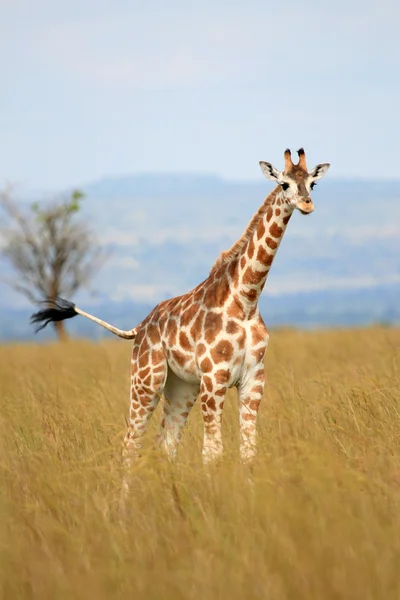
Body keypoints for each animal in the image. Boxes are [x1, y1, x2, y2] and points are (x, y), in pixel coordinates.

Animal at [32, 148, 332, 472]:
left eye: (312, 184)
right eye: (284, 184)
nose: (307, 204)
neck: (246, 300)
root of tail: (139, 327)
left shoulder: (254, 379)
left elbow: (248, 452)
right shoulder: (214, 379)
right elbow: (212, 453)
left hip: (181, 387)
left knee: (165, 444)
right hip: (146, 381)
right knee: (130, 444)